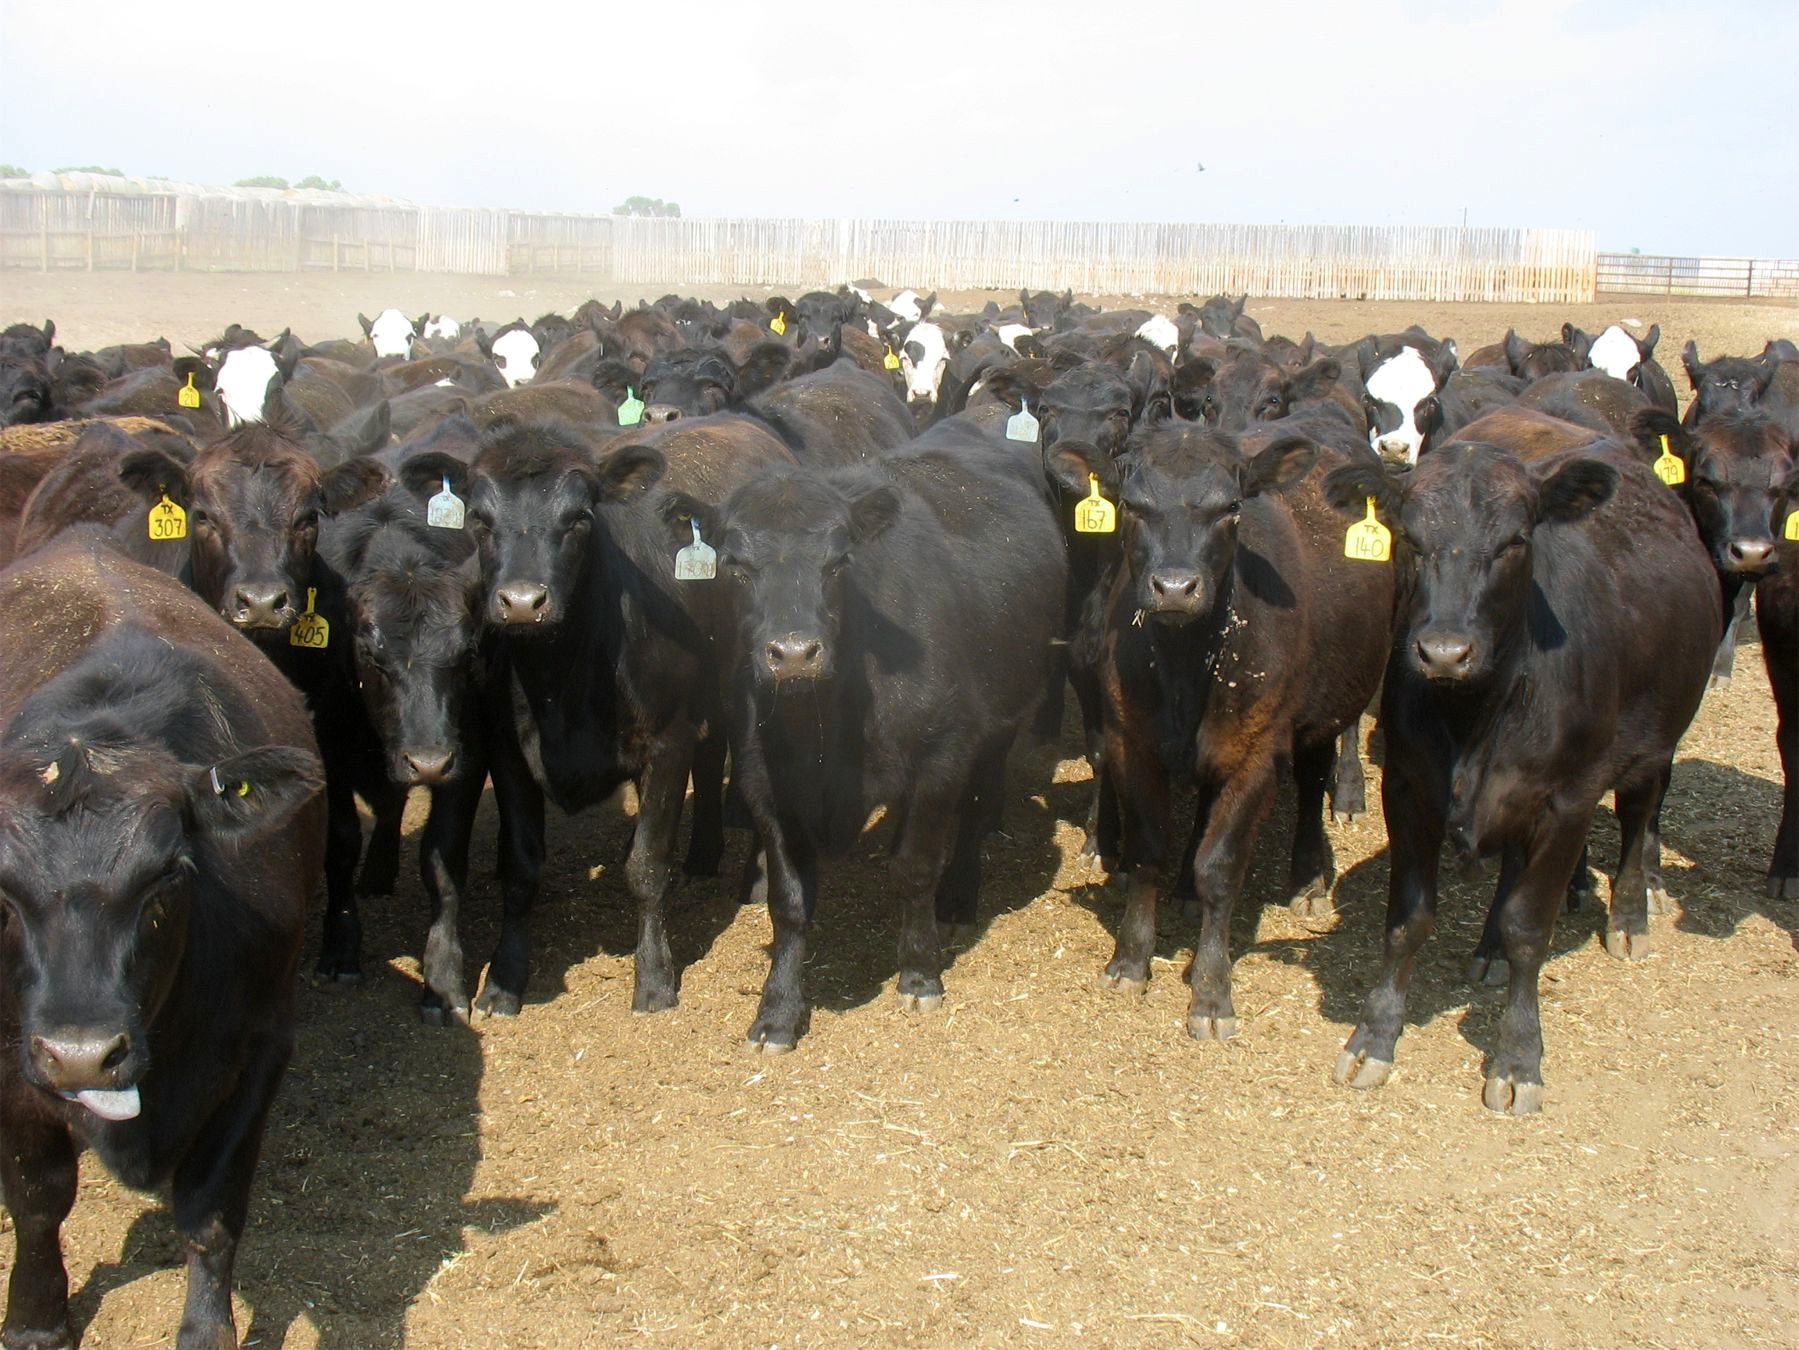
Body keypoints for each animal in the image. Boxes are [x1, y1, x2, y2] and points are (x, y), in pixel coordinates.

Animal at [0, 528, 324, 1350]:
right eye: (2, 891)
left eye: (168, 875)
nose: (83, 1053)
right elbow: (37, 1196)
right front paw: (36, 1316)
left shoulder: (259, 1047)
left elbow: (210, 1210)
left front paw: (207, 1328)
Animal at [658, 437, 1066, 1051]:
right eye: (736, 566)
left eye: (836, 563)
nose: (794, 653)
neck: (822, 730)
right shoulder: (764, 781)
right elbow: (788, 902)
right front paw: (777, 1010)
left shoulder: (941, 757)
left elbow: (915, 868)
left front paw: (919, 973)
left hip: (1000, 727)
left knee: (974, 815)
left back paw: (957, 899)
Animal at [1054, 423, 1389, 1042]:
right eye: (1131, 505)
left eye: (1231, 507)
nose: (1175, 587)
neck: (1187, 666)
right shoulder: (1132, 744)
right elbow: (1148, 850)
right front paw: (1130, 961)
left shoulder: (1257, 757)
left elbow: (1222, 869)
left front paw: (1211, 993)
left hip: (1321, 713)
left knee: (1312, 783)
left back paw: (1307, 880)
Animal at [1321, 440, 1718, 1111]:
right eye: (1411, 538)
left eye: (1515, 540)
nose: (1445, 652)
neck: (1478, 712)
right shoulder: (1408, 789)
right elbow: (1408, 921)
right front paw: (1373, 1037)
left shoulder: (1568, 802)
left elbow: (1530, 928)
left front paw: (1517, 1058)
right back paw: (1488, 950)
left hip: (1655, 741)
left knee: (1639, 816)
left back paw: (1629, 918)